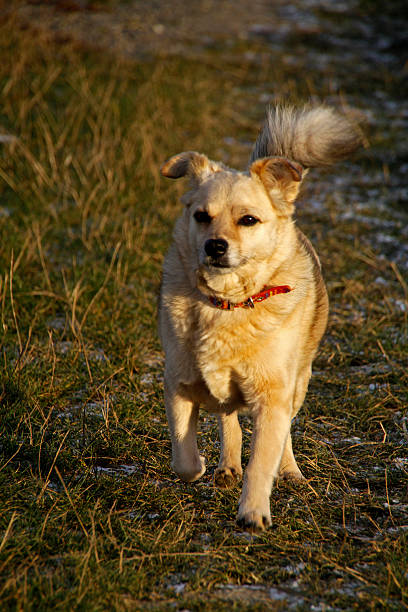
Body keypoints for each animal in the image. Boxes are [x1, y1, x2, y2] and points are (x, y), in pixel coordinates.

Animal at [159, 105, 360, 532]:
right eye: (201, 216)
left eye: (248, 220)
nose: (214, 246)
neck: (227, 304)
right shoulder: (178, 381)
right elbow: (184, 458)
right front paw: (202, 467)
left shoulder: (273, 394)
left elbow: (263, 459)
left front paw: (253, 512)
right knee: (228, 419)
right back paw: (226, 466)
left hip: (298, 381)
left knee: (283, 434)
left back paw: (289, 471)